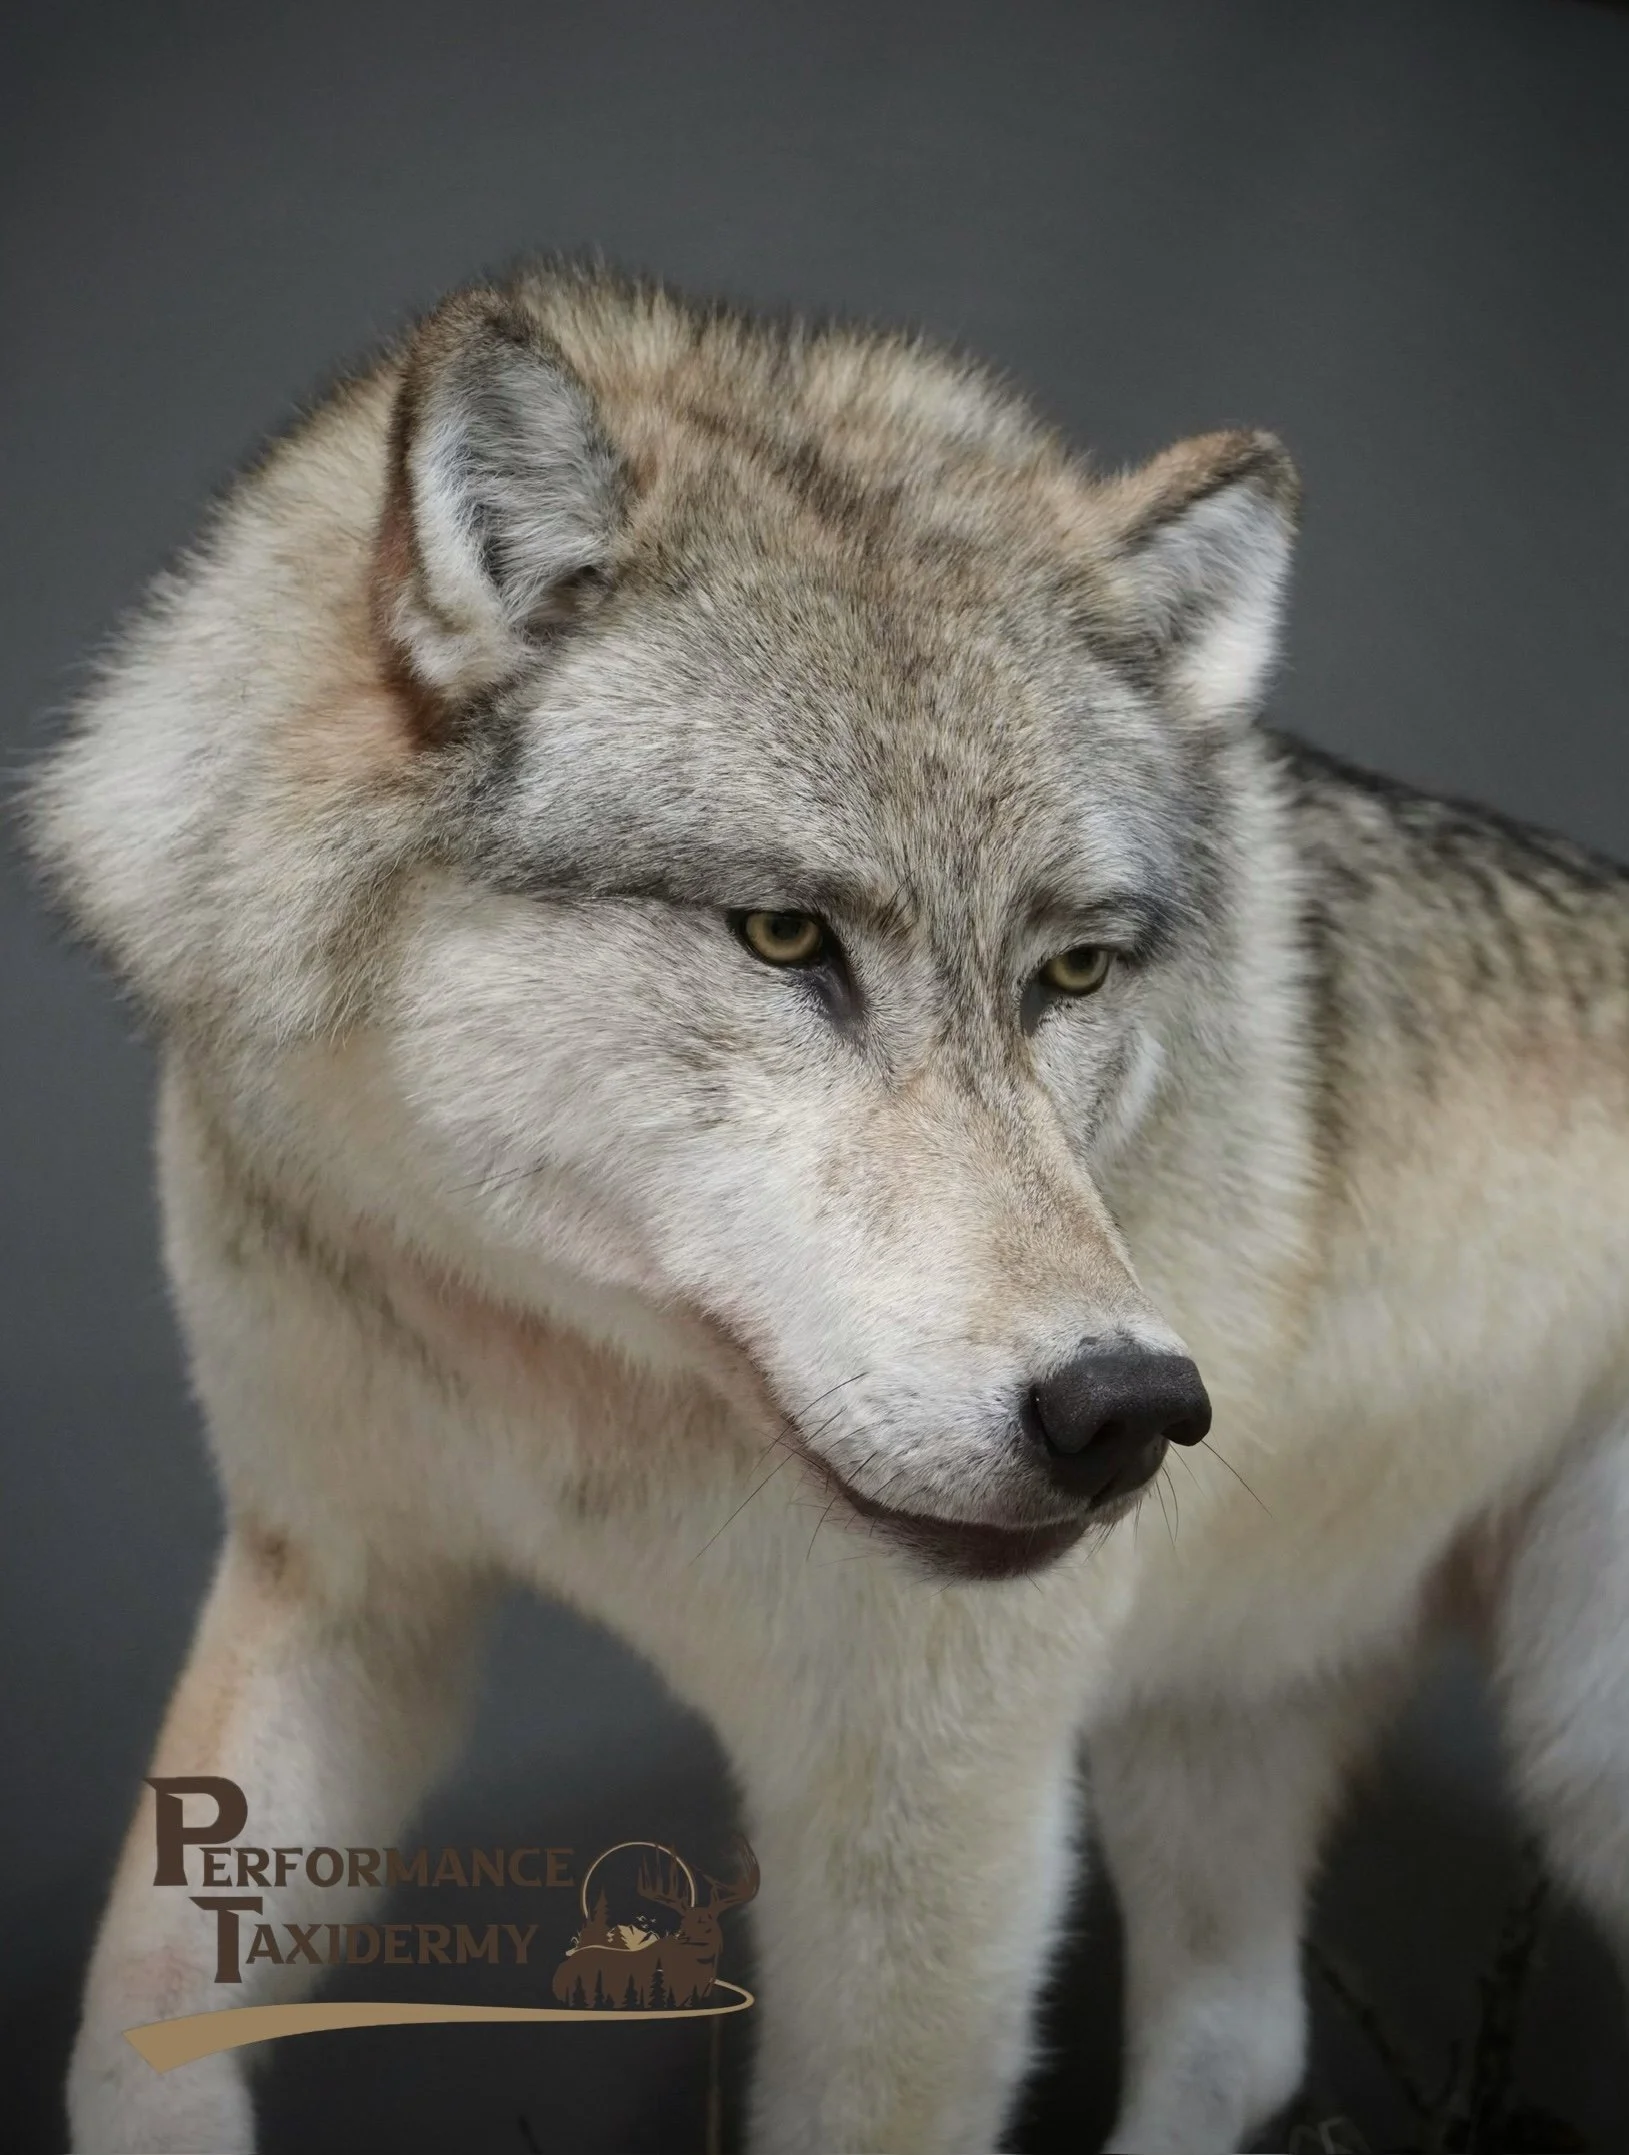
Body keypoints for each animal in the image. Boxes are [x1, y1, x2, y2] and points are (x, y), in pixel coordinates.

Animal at [27, 263, 1629, 2155]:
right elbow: (134, 2007)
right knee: (1243, 2037)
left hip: (1566, 1749)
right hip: (1211, 1738)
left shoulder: (929, 1810)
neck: (573, 1363)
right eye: (787, 935)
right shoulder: (340, 1586)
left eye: (1071, 972)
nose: (1126, 1411)